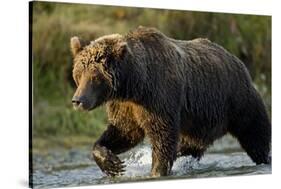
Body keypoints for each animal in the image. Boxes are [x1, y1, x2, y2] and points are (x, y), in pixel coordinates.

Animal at [70, 26, 272, 177]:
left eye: (95, 76)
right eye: (79, 74)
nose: (77, 100)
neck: (135, 85)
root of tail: (237, 60)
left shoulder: (159, 98)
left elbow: (162, 137)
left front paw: (156, 171)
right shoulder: (126, 106)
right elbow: (123, 131)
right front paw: (112, 164)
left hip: (238, 101)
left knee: (256, 136)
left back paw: (265, 159)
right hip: (199, 123)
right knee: (189, 146)